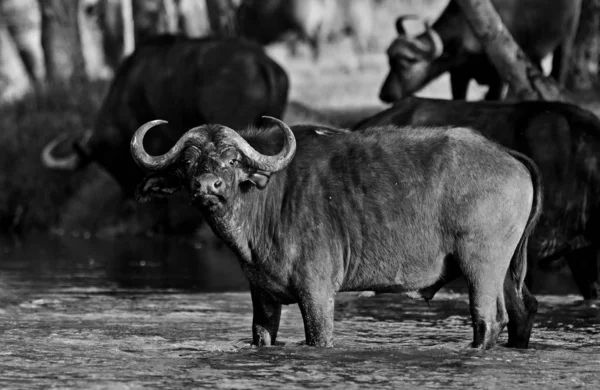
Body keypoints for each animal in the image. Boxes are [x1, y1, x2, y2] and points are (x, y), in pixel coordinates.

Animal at [132, 117, 544, 348]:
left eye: (233, 160)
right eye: (188, 162)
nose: (207, 186)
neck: (268, 199)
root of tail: (506, 153)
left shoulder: (317, 294)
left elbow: (319, 338)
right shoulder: (262, 297)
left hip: (481, 267)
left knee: (488, 320)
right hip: (506, 270)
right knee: (522, 311)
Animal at [380, 0, 580, 102]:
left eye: (408, 61)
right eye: (389, 60)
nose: (385, 94)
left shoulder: (499, 77)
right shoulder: (458, 75)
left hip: (567, 38)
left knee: (559, 69)